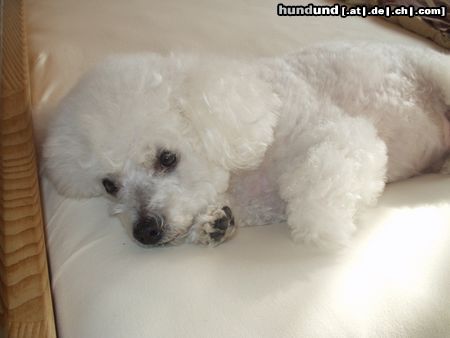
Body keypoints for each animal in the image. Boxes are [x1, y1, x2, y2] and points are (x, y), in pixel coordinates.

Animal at [44, 43, 450, 248]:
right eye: (109, 185)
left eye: (167, 158)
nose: (145, 232)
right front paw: (213, 224)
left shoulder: (341, 132)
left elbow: (318, 181)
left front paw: (325, 225)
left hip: (438, 72)